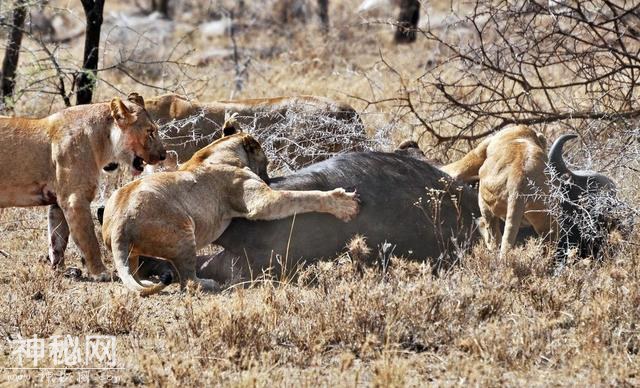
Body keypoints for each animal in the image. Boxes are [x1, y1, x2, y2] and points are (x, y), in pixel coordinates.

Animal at [0, 92, 165, 280]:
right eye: (150, 132)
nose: (163, 155)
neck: (102, 141)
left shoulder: (58, 202)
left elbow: (57, 239)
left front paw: (60, 270)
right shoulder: (75, 199)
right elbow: (89, 240)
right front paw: (101, 273)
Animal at [101, 116, 360, 296]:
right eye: (266, 161)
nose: (268, 177)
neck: (216, 151)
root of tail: (119, 225)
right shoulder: (260, 202)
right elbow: (302, 196)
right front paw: (344, 203)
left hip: (134, 243)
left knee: (134, 270)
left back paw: (143, 282)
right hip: (183, 231)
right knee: (188, 281)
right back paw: (208, 283)